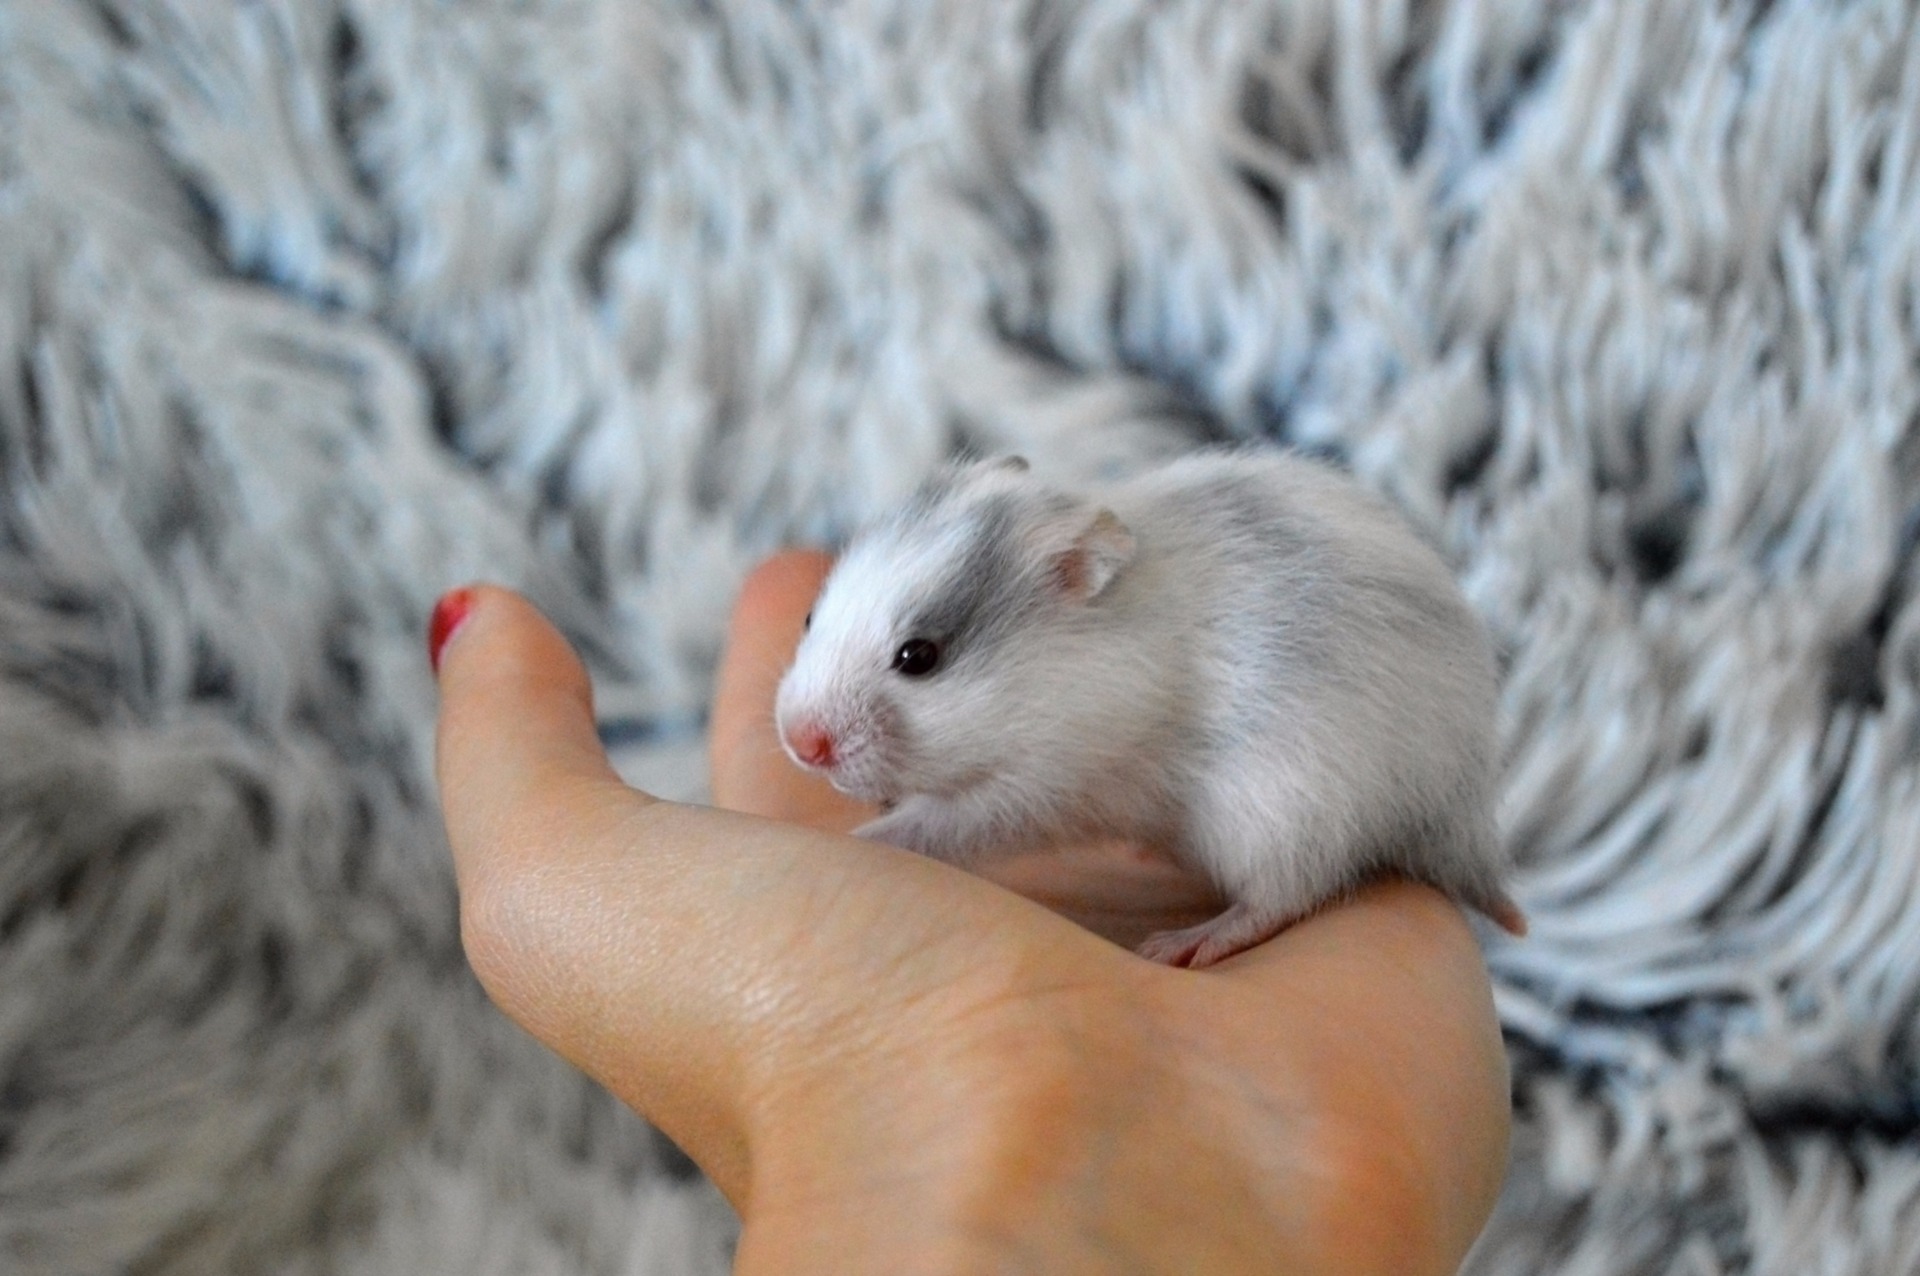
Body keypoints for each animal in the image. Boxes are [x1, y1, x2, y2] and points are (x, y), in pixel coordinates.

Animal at [774, 451, 1522, 967]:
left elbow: (937, 823)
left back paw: (1188, 943)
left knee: (1282, 897)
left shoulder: (1035, 787)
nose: (800, 744)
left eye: (919, 657)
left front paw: (865, 838)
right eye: (809, 616)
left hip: (1289, 813)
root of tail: (1462, 810)